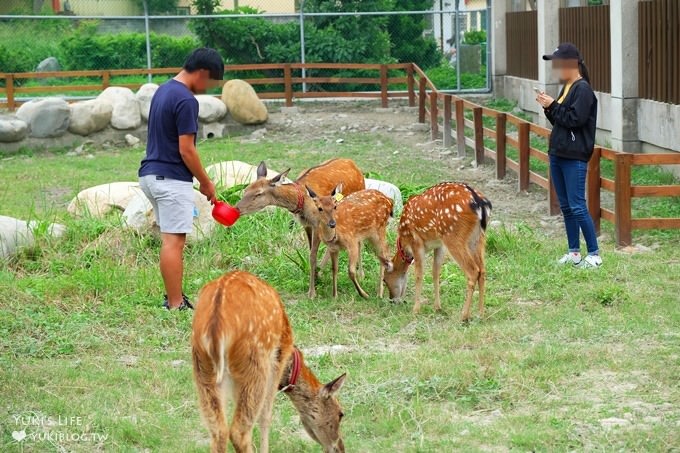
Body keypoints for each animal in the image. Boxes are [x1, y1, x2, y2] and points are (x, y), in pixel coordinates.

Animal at [193, 270, 348, 450]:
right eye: (341, 413)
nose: (340, 448)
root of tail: (216, 327)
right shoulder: (276, 365)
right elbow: (266, 416)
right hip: (255, 365)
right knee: (239, 431)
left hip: (203, 366)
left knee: (219, 431)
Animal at [235, 159, 364, 296]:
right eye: (245, 189)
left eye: (258, 193)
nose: (237, 208)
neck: (302, 202)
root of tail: (354, 164)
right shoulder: (307, 225)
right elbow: (310, 252)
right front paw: (316, 279)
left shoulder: (317, 224)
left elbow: (312, 256)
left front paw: (312, 292)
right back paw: (323, 271)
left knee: (359, 239)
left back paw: (361, 274)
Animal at [382, 182, 488, 320]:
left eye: (384, 280)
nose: (392, 299)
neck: (404, 242)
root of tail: (480, 203)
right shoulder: (440, 245)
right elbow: (435, 272)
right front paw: (437, 307)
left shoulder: (416, 242)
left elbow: (418, 274)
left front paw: (415, 310)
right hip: (477, 238)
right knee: (482, 270)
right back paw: (480, 313)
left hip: (454, 237)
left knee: (473, 271)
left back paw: (464, 316)